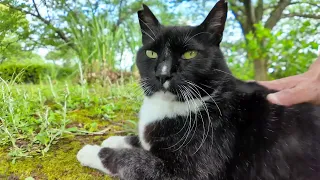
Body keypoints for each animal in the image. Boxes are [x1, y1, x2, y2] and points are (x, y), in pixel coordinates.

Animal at [75, 0, 320, 179]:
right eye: (151, 53)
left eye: (189, 54)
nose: (162, 74)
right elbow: (141, 142)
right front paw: (116, 140)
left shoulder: (189, 172)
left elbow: (133, 160)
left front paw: (91, 151)